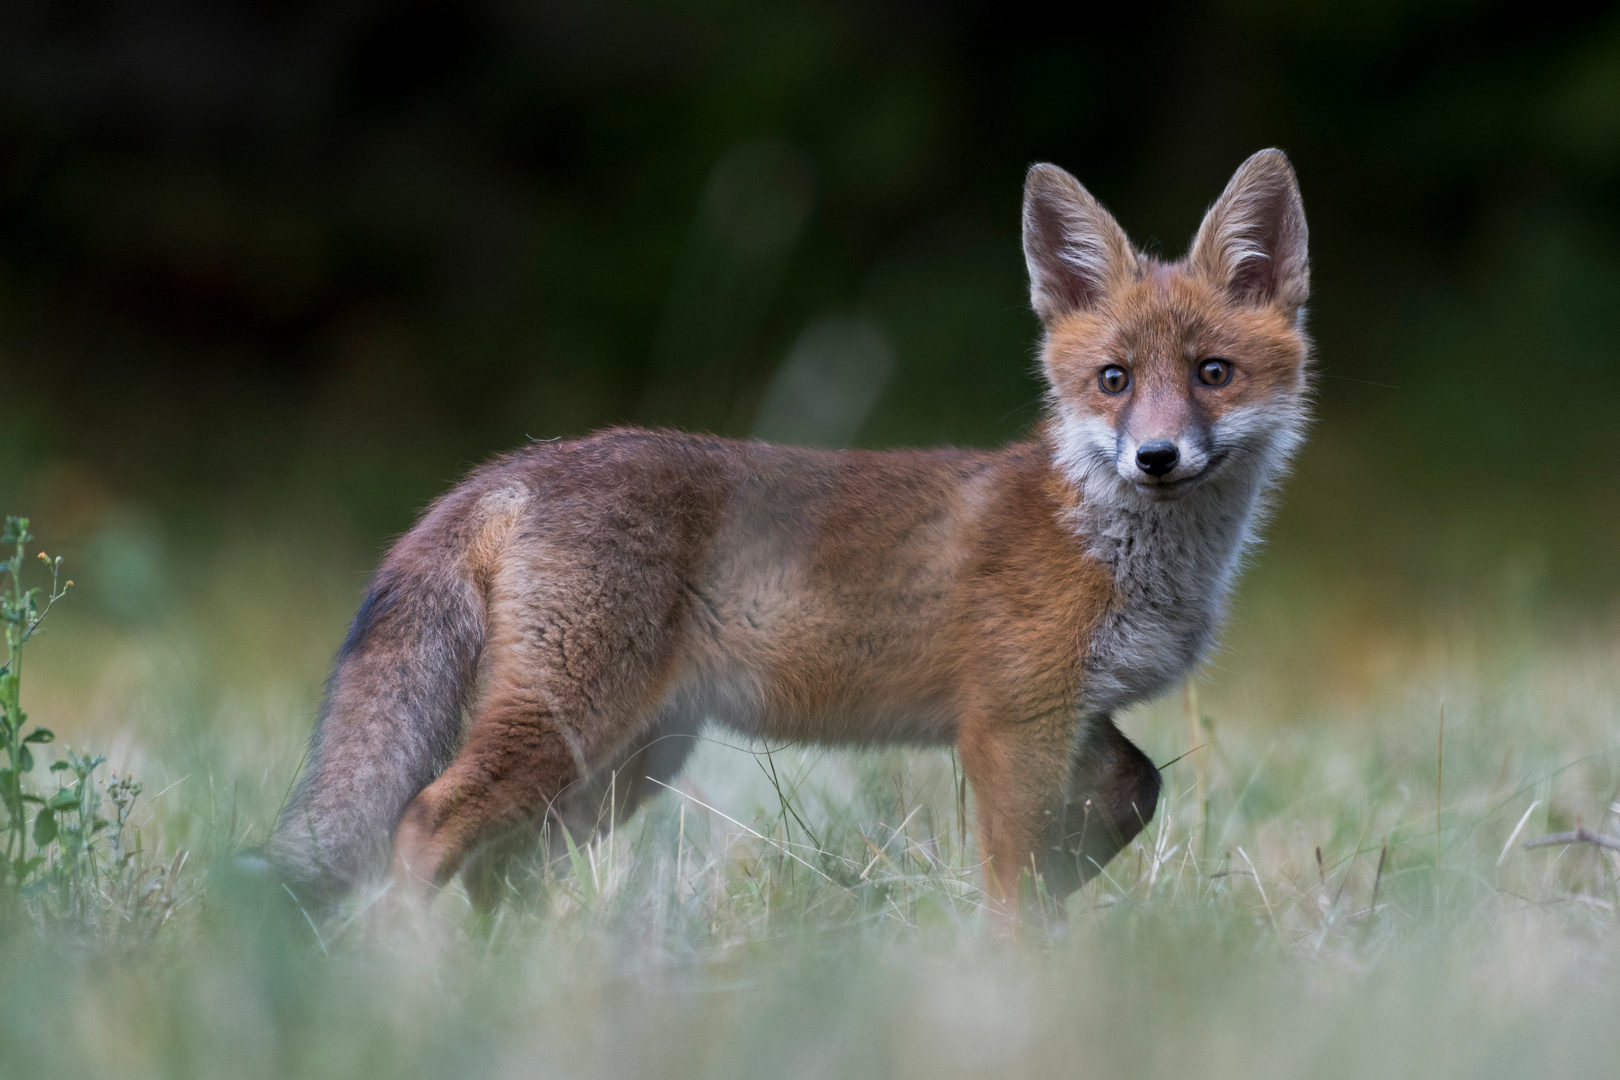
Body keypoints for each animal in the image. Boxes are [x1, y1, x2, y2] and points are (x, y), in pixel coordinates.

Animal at [262, 145, 1302, 919]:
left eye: (1212, 374)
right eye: (1114, 381)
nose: (1157, 458)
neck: (1118, 549)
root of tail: (512, 467)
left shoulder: (1067, 717)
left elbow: (1134, 794)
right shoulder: (1012, 723)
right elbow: (1017, 888)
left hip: (621, 767)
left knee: (497, 865)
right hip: (568, 733)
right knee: (423, 826)